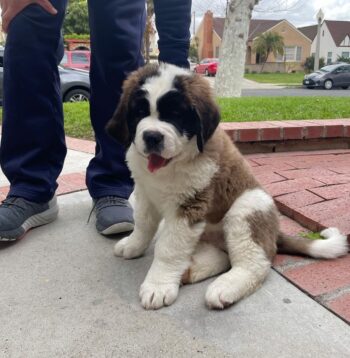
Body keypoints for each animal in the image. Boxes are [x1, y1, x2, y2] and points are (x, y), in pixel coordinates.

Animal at [106, 63, 348, 310]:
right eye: (139, 113)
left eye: (176, 115)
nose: (152, 136)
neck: (171, 166)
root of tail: (275, 233)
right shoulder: (146, 193)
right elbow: (143, 224)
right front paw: (133, 245)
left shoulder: (190, 207)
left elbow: (169, 248)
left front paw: (158, 286)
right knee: (223, 257)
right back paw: (188, 271)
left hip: (246, 209)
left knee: (255, 263)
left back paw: (226, 287)